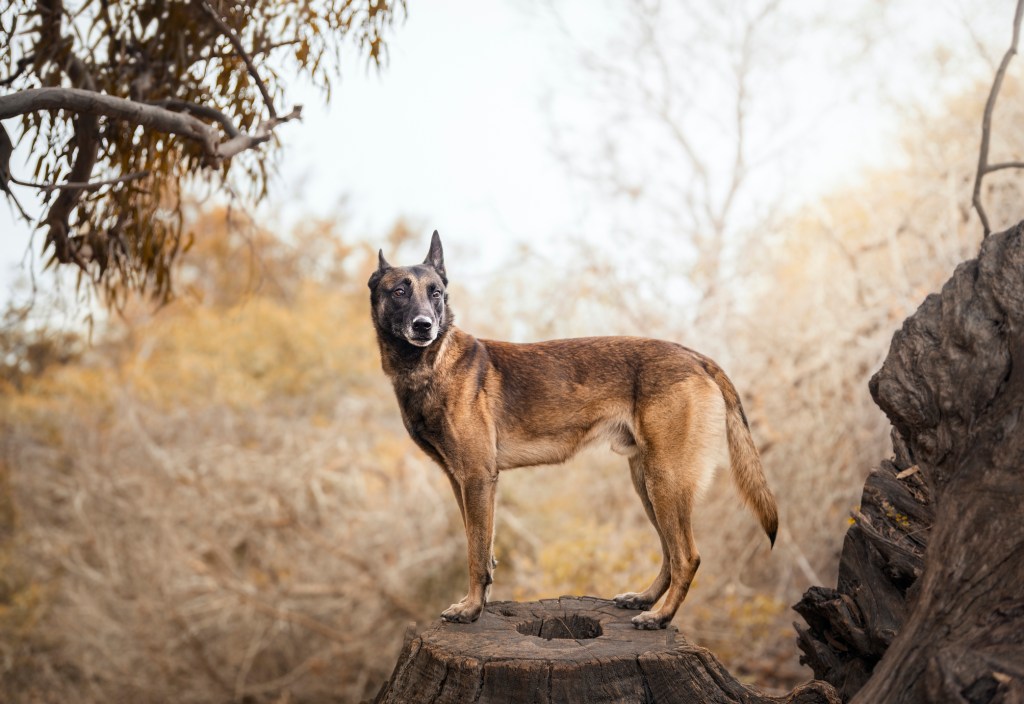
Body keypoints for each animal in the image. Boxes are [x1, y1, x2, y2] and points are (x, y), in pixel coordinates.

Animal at [368, 233, 774, 630]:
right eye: (399, 291)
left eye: (435, 292)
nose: (424, 325)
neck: (430, 365)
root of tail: (696, 356)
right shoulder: (462, 481)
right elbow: (482, 547)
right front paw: (479, 603)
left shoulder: (477, 479)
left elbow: (476, 553)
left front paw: (470, 610)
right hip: (647, 482)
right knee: (669, 553)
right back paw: (644, 599)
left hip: (666, 480)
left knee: (687, 556)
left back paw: (660, 616)